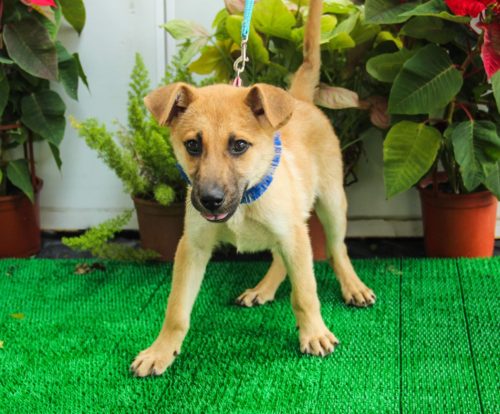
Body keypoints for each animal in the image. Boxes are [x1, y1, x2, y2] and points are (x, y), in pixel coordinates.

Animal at [131, 0, 375, 377]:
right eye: (193, 145)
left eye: (239, 145)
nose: (210, 201)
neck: (245, 201)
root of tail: (298, 99)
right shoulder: (192, 246)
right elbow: (176, 309)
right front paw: (161, 350)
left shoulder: (293, 234)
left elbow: (305, 293)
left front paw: (314, 334)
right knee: (279, 258)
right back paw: (264, 288)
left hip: (332, 204)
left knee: (337, 248)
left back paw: (353, 287)